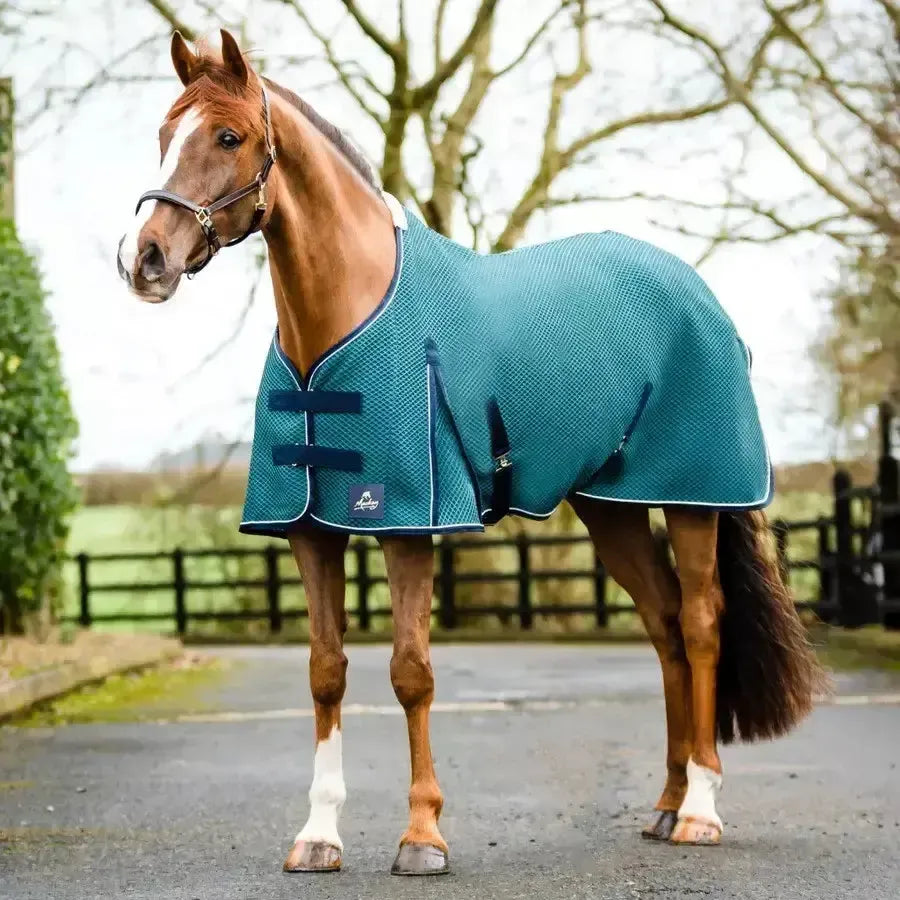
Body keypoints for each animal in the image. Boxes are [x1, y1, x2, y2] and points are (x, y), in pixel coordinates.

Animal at [116, 30, 825, 877]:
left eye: (228, 137)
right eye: (163, 135)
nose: (144, 259)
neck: (343, 318)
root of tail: (699, 295)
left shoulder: (408, 525)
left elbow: (411, 673)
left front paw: (422, 837)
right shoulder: (310, 531)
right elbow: (326, 673)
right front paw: (318, 834)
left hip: (694, 499)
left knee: (700, 624)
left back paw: (701, 812)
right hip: (611, 509)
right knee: (662, 629)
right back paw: (665, 800)